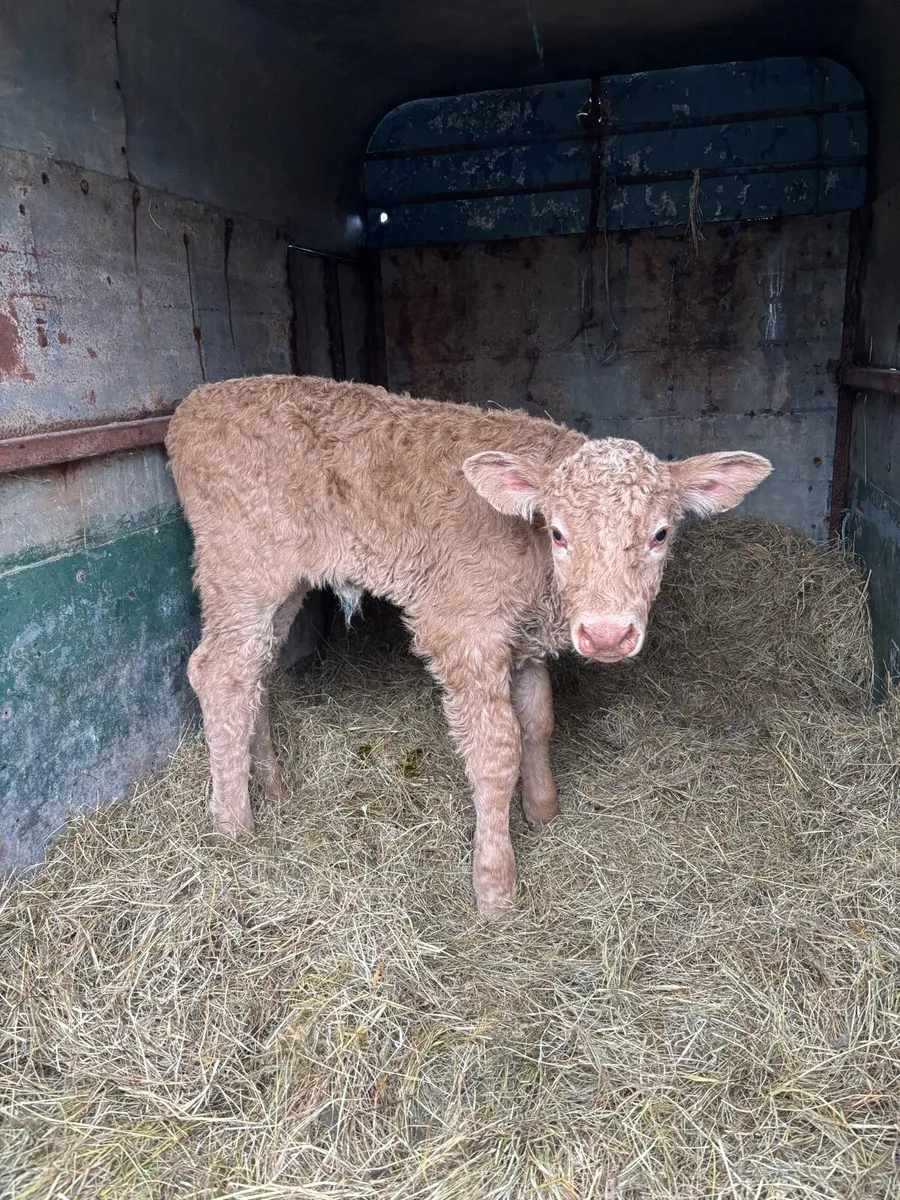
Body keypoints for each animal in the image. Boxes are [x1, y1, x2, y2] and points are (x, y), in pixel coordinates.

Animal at [165, 375, 772, 917]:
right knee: (219, 671)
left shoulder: (524, 639)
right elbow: (497, 750)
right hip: (241, 569)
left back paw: (270, 786)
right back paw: (233, 828)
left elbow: (538, 720)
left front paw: (543, 812)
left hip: (281, 586)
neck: (536, 570)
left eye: (660, 534)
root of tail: (194, 405)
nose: (606, 634)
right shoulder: (463, 631)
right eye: (558, 533)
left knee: (255, 671)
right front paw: (495, 887)